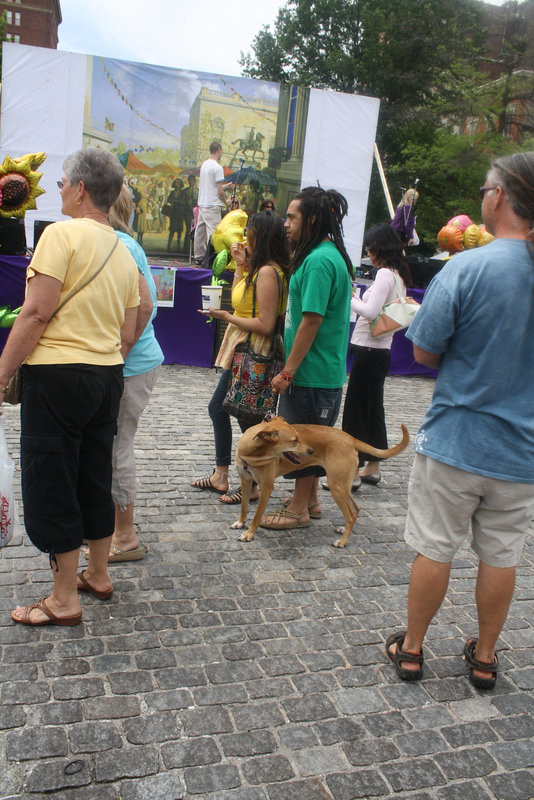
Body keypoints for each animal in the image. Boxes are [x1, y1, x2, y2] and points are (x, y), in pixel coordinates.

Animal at [230, 416, 410, 548]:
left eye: (298, 438)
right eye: (294, 440)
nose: (311, 451)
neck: (252, 454)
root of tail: (350, 438)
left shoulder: (267, 488)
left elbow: (257, 516)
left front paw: (249, 534)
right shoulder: (245, 481)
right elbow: (244, 507)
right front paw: (240, 523)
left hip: (336, 486)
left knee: (351, 514)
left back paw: (343, 542)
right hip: (343, 485)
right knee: (356, 509)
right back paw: (344, 529)